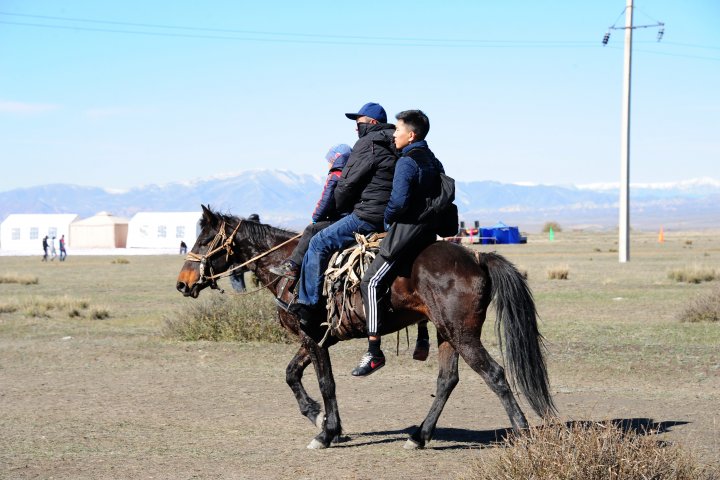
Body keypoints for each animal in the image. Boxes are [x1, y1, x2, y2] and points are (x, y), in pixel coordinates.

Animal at [176, 206, 556, 450]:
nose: (183, 283)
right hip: (447, 334)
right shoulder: (316, 338)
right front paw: (318, 417)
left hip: (463, 335)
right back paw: (419, 436)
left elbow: (326, 383)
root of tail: (476, 257)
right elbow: (291, 374)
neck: (288, 266)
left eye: (204, 240)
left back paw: (522, 433)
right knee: (447, 380)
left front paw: (326, 433)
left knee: (494, 374)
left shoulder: (313, 339)